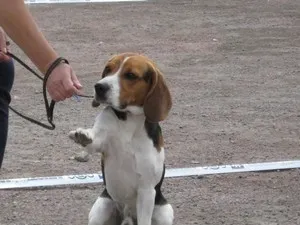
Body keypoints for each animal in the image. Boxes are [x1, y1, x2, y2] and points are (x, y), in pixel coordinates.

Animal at [68, 53, 173, 225]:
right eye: (107, 69)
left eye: (130, 75)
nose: (99, 87)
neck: (128, 119)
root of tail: (127, 216)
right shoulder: (102, 139)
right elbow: (93, 141)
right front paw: (83, 135)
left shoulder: (146, 190)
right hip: (101, 208)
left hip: (164, 212)